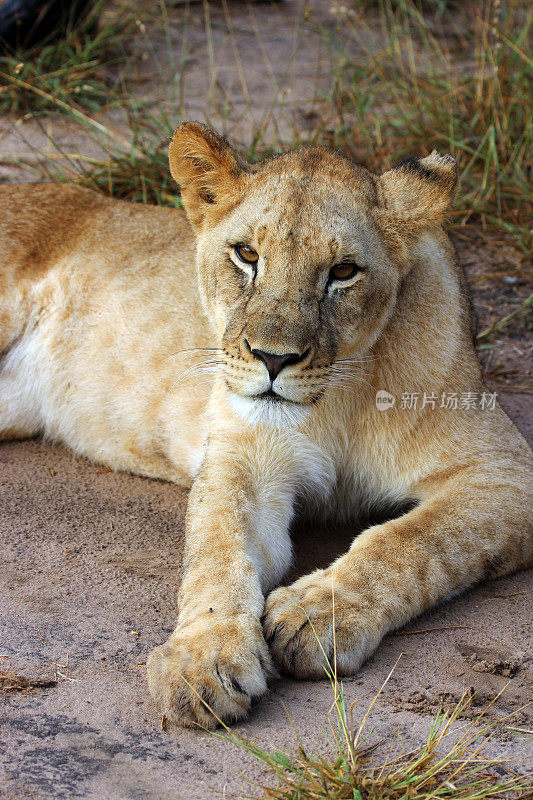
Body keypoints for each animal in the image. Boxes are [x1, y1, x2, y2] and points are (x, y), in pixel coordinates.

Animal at [0, 122, 528, 728]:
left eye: (343, 271)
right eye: (247, 254)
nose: (273, 359)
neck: (335, 401)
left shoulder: (503, 473)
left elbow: (411, 541)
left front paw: (316, 614)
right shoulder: (243, 459)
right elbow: (218, 550)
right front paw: (202, 659)